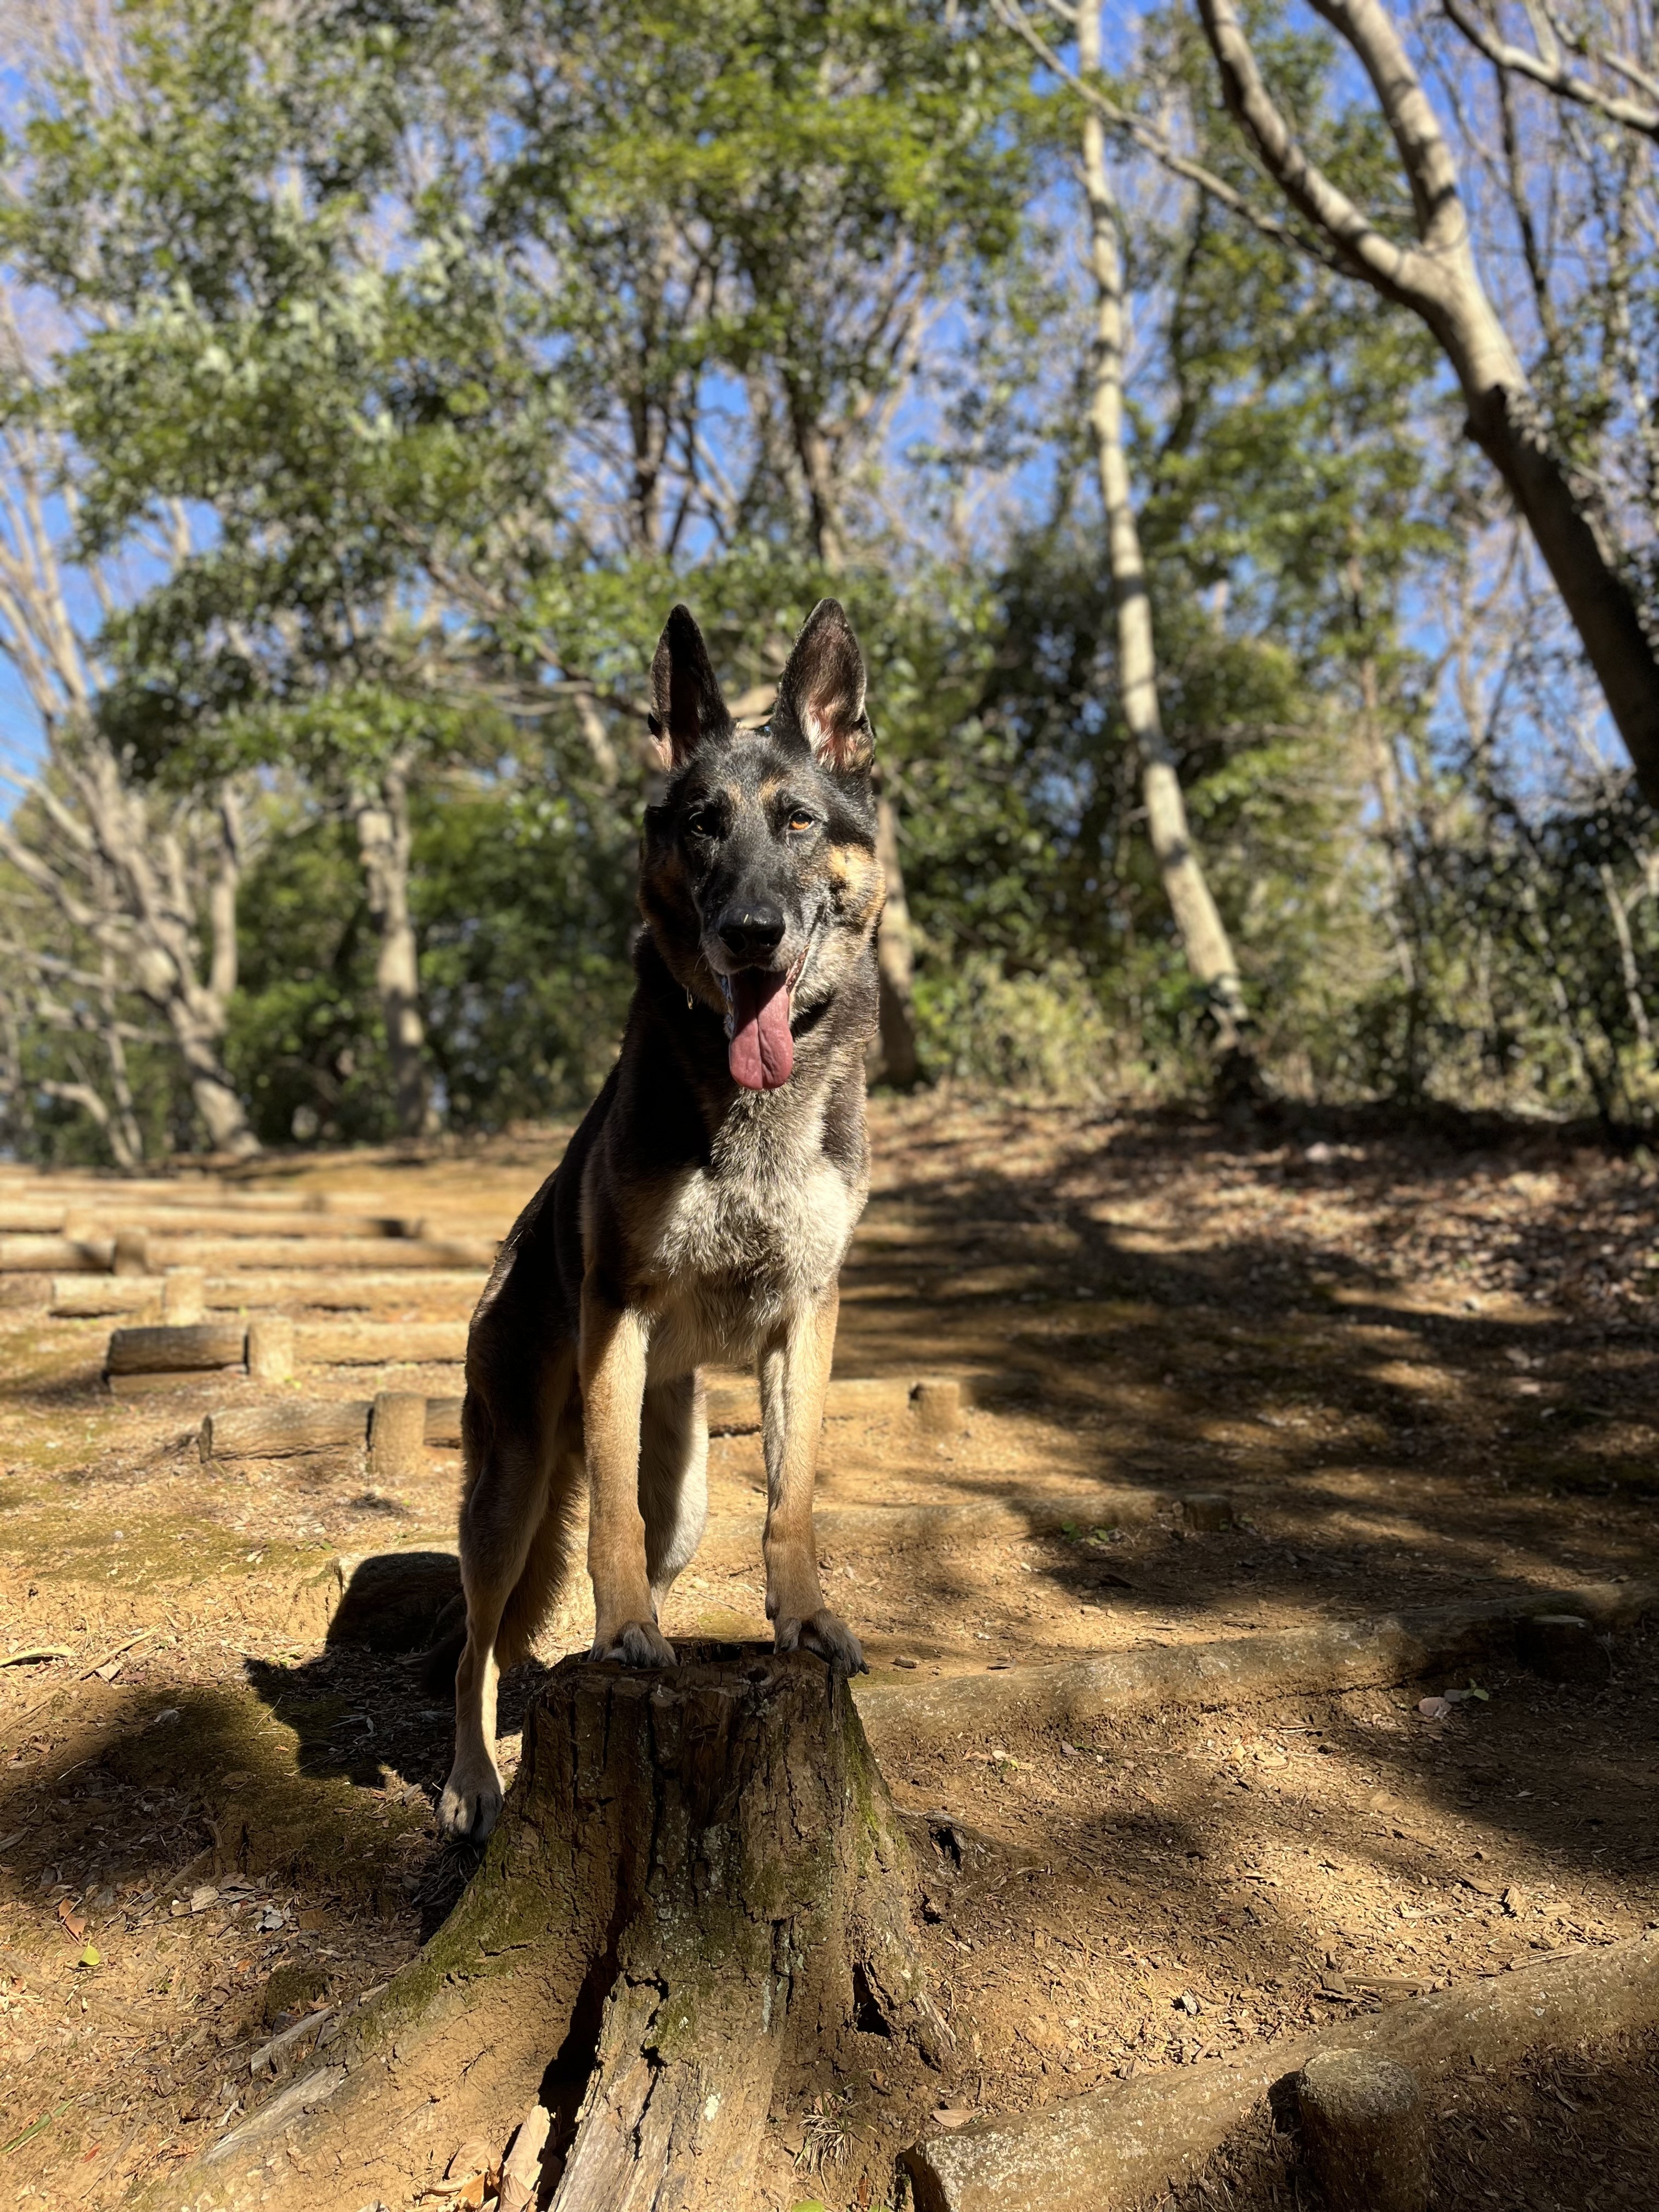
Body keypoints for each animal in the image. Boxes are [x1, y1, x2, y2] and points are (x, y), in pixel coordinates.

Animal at [437, 598, 885, 1840]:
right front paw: (626, 1634)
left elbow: (790, 1498)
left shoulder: (806, 1319)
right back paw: (476, 1778)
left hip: (677, 1479)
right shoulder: (618, 1310)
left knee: (644, 1544)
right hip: (510, 1488)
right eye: (701, 827)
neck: (752, 1101)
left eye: (796, 821)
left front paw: (804, 1621)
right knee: (475, 1645)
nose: (751, 931)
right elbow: (608, 1539)